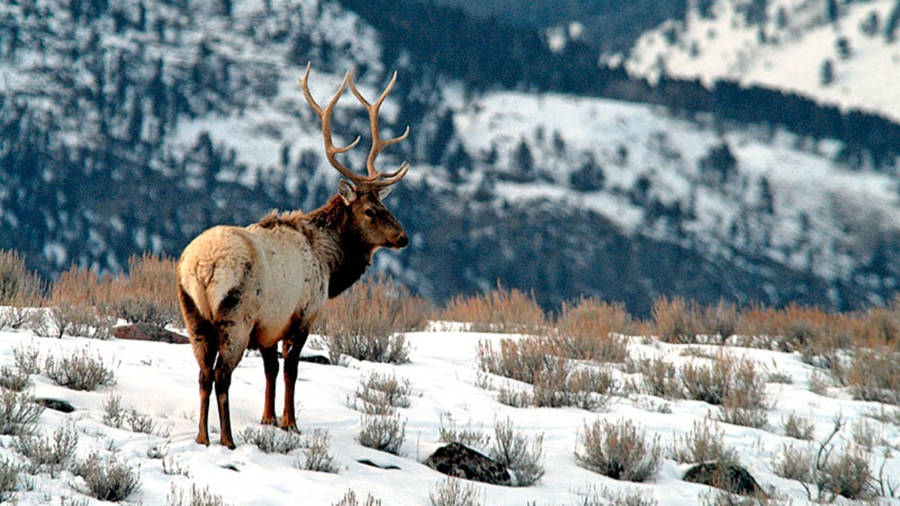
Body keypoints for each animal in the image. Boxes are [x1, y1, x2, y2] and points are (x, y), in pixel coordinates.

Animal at [176, 63, 412, 449]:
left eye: (385, 205)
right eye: (371, 211)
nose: (403, 237)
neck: (329, 262)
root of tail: (202, 267)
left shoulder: (269, 324)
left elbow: (270, 369)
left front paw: (268, 418)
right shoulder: (303, 313)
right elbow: (290, 369)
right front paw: (290, 422)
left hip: (194, 315)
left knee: (202, 374)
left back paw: (202, 437)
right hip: (236, 315)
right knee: (222, 374)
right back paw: (227, 439)